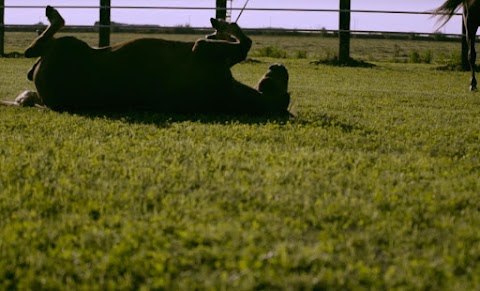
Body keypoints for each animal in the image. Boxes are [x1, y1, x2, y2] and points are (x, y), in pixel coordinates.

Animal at [1, 5, 290, 115]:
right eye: (283, 80)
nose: (279, 66)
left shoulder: (202, 50)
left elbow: (245, 44)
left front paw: (222, 24)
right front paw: (218, 27)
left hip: (66, 46)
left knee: (36, 47)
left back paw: (51, 19)